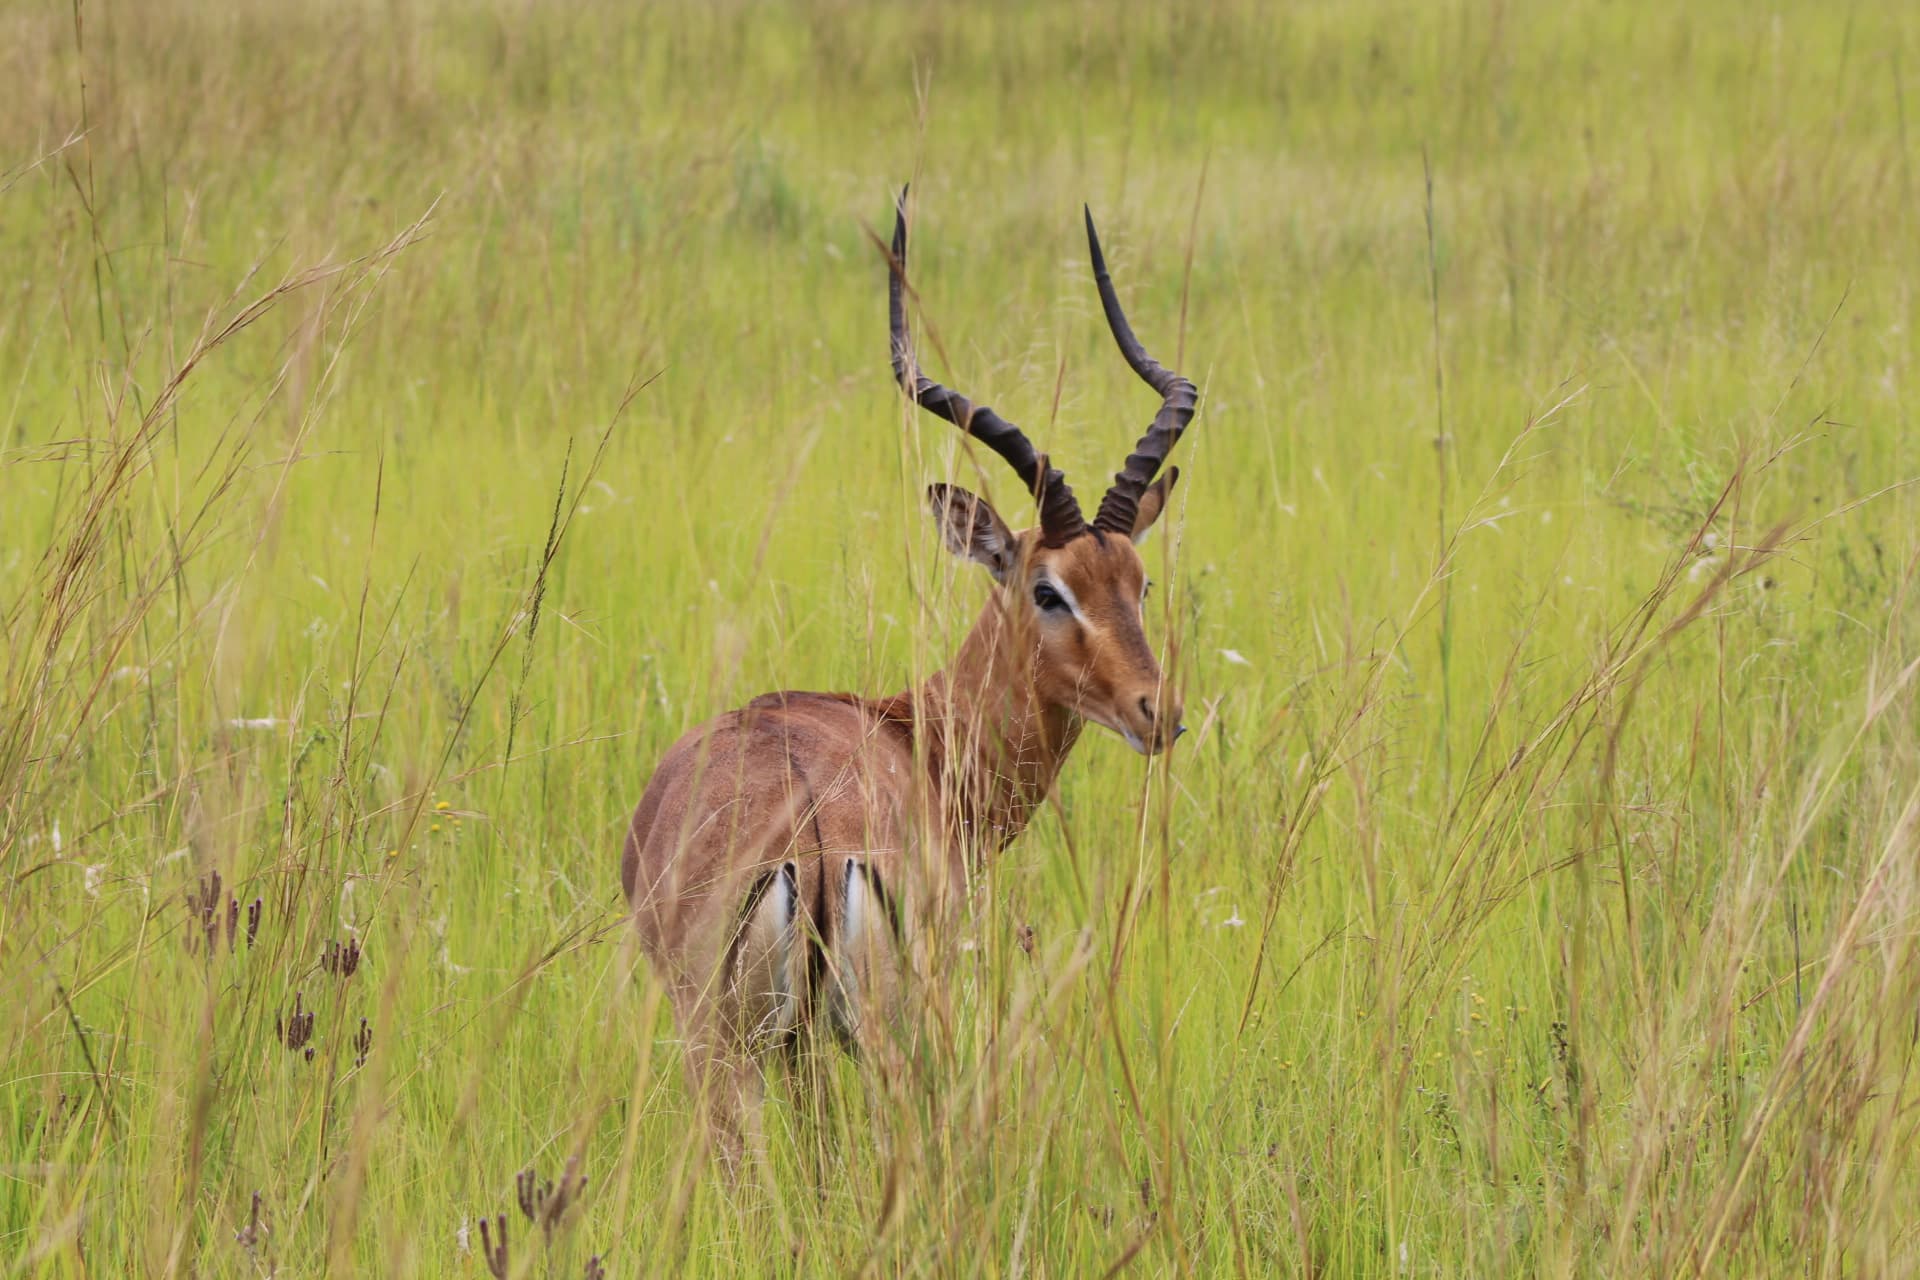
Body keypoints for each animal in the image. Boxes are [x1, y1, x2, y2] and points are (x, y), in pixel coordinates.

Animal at [621, 189, 1197, 1162]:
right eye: (1049, 589)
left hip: (751, 1048)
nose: (1157, 712)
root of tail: (811, 839)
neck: (917, 736)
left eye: (1137, 584)